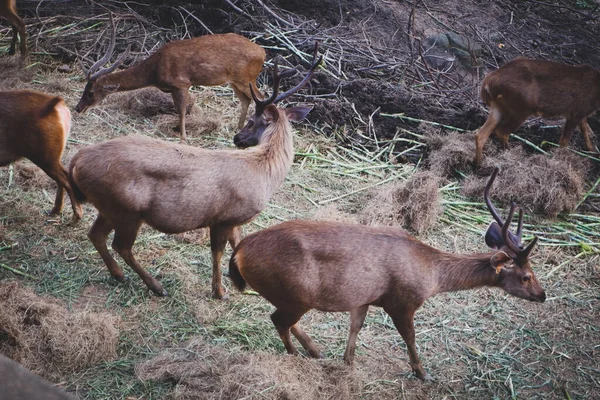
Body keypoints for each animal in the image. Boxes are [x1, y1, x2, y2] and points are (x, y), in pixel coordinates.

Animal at [0, 91, 83, 222]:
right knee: (62, 178)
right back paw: (54, 211)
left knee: (65, 178)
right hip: (53, 156)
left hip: (45, 157)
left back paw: (75, 217)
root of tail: (56, 103)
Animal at [69, 45, 324, 298]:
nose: (237, 138)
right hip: (126, 209)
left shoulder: (234, 220)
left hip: (110, 207)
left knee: (96, 235)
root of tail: (77, 160)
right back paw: (155, 286)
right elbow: (217, 252)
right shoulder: (223, 218)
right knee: (120, 245)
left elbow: (239, 245)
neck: (264, 172)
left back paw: (119, 275)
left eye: (251, 122)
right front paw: (219, 291)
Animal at [75, 12, 264, 142]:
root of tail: (262, 52)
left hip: (246, 78)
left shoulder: (181, 83)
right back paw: (238, 128)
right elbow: (177, 109)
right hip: (235, 81)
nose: (78, 108)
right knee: (246, 99)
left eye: (91, 92)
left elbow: (181, 111)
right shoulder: (172, 88)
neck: (154, 70)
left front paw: (183, 138)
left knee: (261, 97)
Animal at [227, 166, 548, 382]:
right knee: (279, 320)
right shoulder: (402, 301)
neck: (432, 274)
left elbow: (355, 328)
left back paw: (317, 352)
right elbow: (410, 337)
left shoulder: (363, 298)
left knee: (284, 319)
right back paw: (296, 356)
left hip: (289, 295)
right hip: (295, 293)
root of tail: (239, 252)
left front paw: (348, 362)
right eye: (526, 276)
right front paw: (422, 373)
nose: (543, 295)